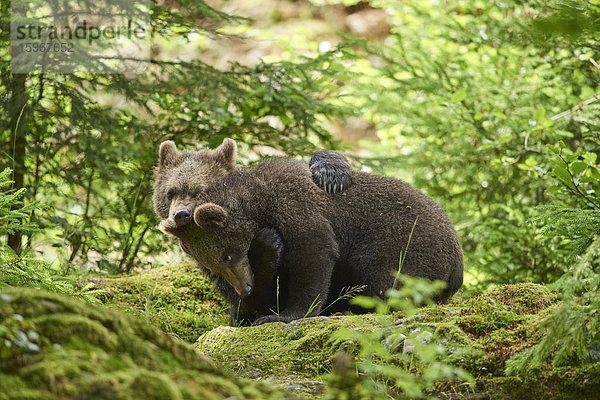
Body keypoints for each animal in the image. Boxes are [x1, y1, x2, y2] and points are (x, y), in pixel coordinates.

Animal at [161, 152, 464, 324]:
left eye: (228, 255)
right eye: (213, 265)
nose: (244, 288)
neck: (259, 203)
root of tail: (458, 264)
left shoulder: (298, 207)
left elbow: (313, 258)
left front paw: (282, 315)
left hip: (404, 247)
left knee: (388, 282)